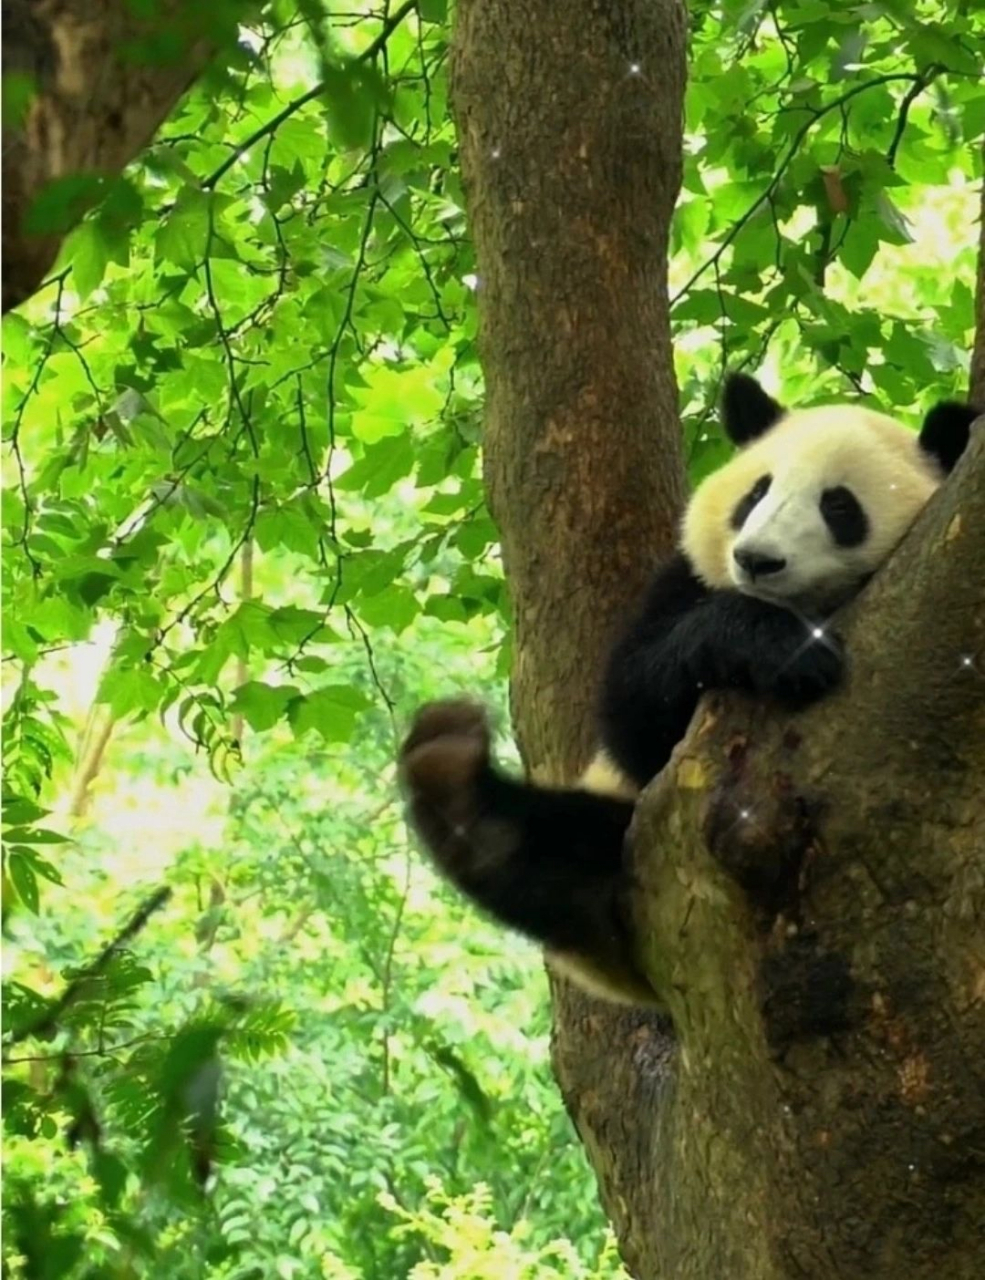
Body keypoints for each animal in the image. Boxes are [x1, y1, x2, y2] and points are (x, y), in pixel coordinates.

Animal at [396, 373, 972, 1003]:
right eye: (756, 493)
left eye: (838, 505)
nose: (757, 559)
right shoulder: (683, 583)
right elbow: (633, 715)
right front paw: (782, 648)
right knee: (555, 846)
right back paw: (456, 784)